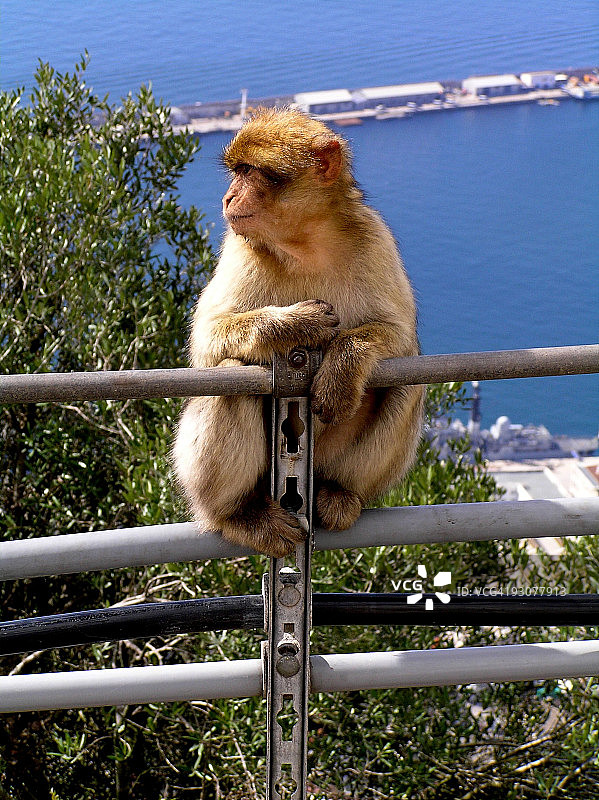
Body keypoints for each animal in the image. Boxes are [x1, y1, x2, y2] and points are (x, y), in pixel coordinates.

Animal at [173, 108, 424, 558]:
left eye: (251, 172)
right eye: (237, 171)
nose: (228, 198)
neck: (303, 243)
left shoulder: (374, 236)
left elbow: (401, 335)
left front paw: (342, 370)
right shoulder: (240, 246)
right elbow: (205, 341)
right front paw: (294, 323)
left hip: (327, 458)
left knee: (407, 383)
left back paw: (340, 492)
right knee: (231, 377)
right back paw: (238, 515)